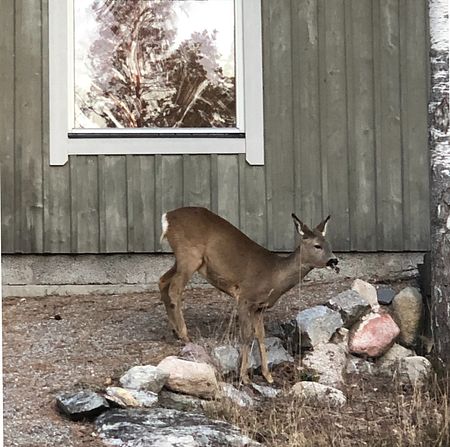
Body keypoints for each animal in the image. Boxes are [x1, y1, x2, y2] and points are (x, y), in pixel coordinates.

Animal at [158, 206, 338, 384]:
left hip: (184, 259)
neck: (274, 276)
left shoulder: (259, 307)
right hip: (189, 254)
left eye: (329, 244)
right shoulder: (245, 298)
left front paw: (268, 375)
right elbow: (246, 335)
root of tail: (167, 217)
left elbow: (261, 336)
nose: (334, 260)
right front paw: (244, 376)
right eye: (317, 246)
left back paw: (175, 331)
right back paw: (184, 335)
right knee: (174, 289)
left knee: (162, 281)